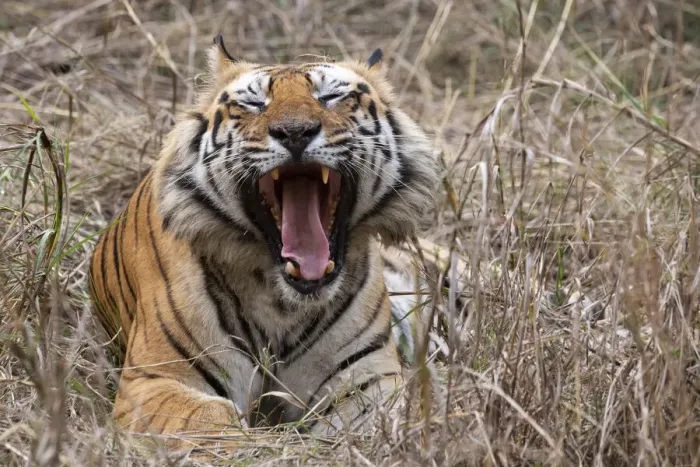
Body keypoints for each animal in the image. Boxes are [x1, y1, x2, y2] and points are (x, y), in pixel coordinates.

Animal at [88, 35, 442, 448]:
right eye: (255, 103)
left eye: (331, 96)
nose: (295, 131)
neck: (283, 305)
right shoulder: (154, 380)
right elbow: (207, 418)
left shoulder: (366, 383)